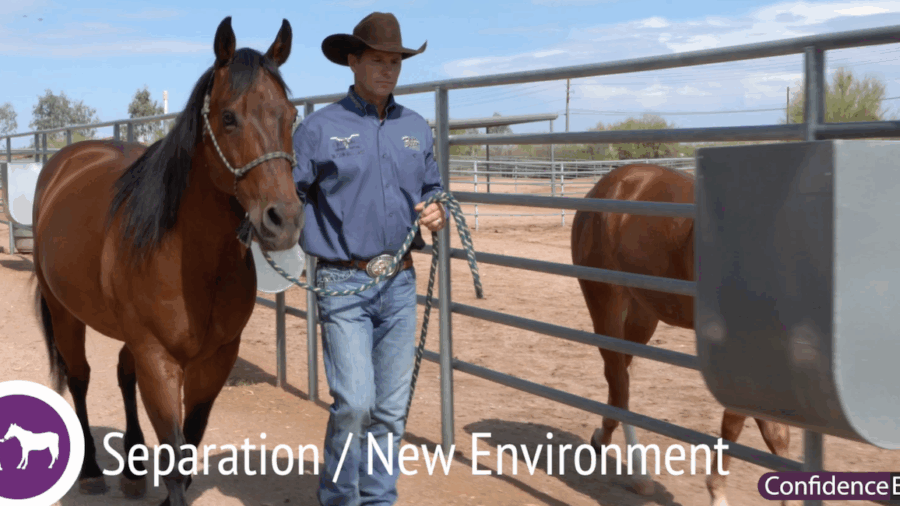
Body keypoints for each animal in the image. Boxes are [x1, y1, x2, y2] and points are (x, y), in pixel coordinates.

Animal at [30, 16, 302, 506]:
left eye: (290, 116)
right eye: (228, 117)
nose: (284, 219)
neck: (194, 259)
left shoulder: (216, 360)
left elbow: (188, 447)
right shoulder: (158, 358)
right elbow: (175, 458)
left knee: (122, 374)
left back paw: (134, 471)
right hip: (64, 313)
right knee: (80, 378)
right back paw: (91, 471)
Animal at [571, 163, 798, 506]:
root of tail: (606, 186)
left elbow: (775, 433)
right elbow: (735, 422)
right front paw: (717, 494)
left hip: (642, 316)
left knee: (619, 376)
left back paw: (603, 437)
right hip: (605, 303)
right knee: (619, 382)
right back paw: (639, 475)